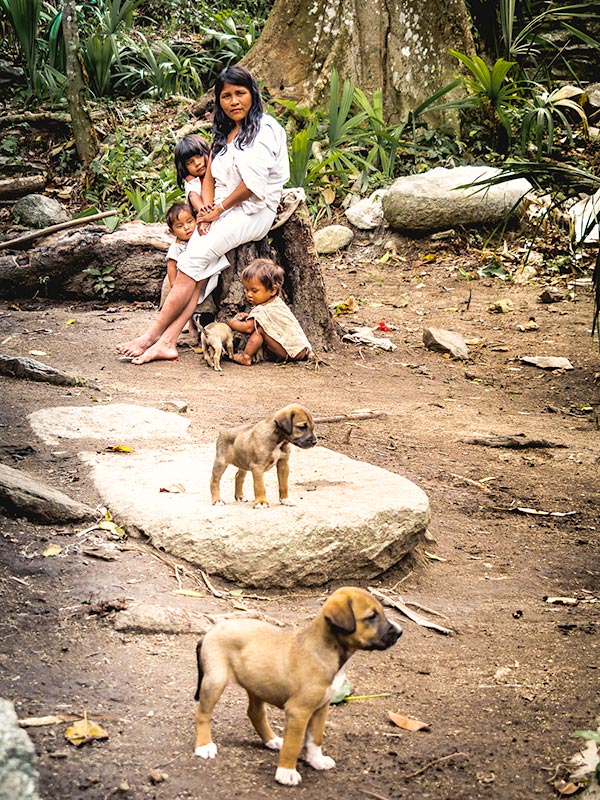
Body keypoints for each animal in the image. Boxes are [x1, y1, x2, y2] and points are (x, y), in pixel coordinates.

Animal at [195, 584, 404, 784]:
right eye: (371, 616)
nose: (400, 632)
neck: (327, 652)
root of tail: (210, 631)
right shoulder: (298, 711)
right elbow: (293, 745)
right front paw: (286, 772)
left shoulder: (321, 708)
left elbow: (315, 738)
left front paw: (316, 760)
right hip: (215, 680)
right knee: (203, 713)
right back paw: (204, 746)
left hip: (257, 684)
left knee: (255, 713)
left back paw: (271, 740)